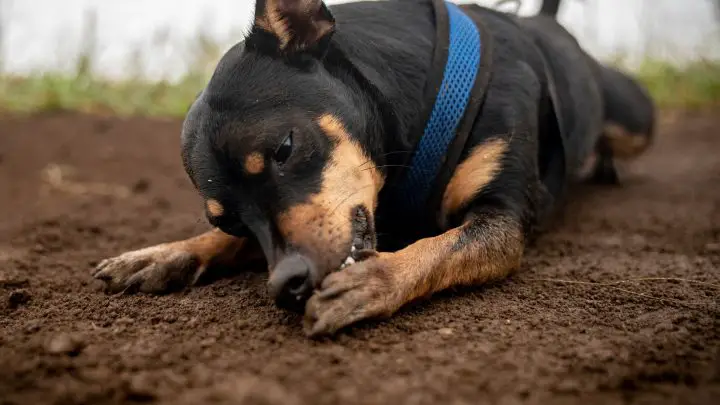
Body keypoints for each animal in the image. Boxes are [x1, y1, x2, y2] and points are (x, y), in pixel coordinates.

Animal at [93, 0, 656, 338]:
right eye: (227, 220)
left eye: (285, 149)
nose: (285, 283)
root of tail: (546, 21)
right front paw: (166, 252)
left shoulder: (502, 219)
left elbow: (435, 249)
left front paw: (374, 279)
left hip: (635, 118)